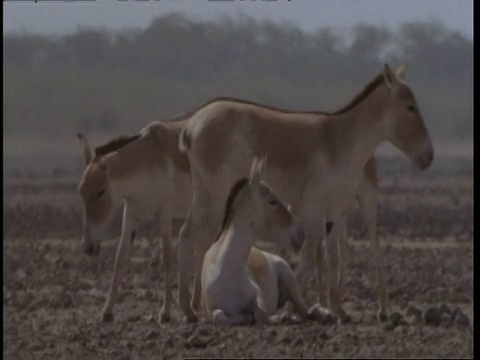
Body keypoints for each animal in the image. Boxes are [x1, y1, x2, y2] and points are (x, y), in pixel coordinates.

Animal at [201, 156, 332, 324]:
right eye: (272, 201)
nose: (300, 235)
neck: (229, 272)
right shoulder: (210, 310)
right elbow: (220, 316)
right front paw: (247, 316)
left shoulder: (258, 294)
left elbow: (261, 313)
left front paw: (265, 316)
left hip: (289, 276)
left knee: (307, 310)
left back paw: (324, 314)